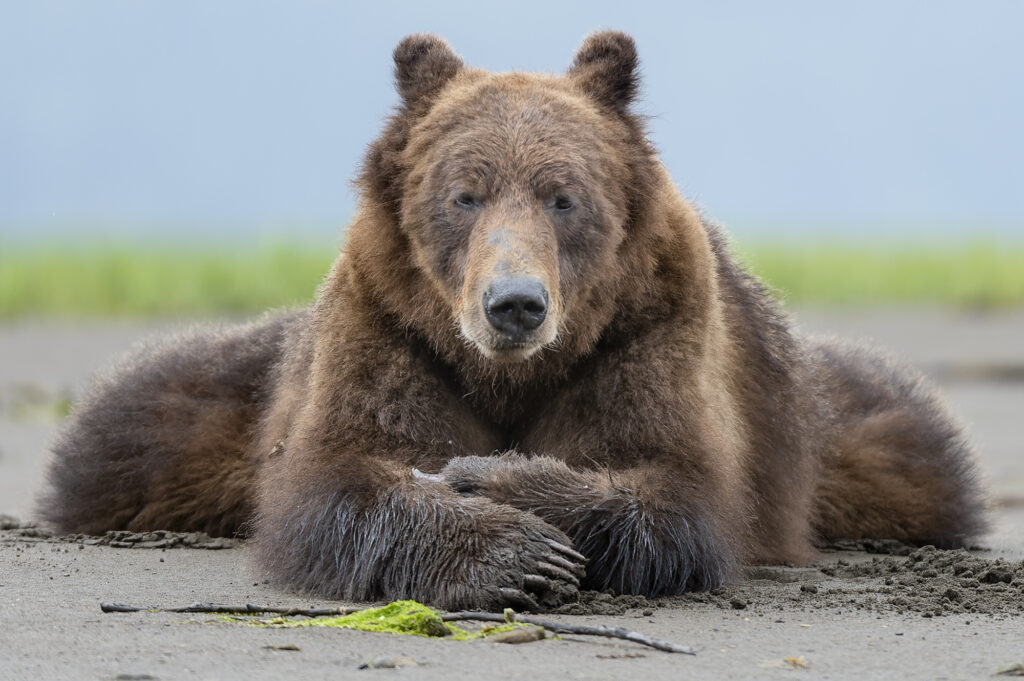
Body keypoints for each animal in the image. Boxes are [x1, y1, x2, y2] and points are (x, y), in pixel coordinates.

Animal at [38, 31, 988, 611]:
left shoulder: (649, 332)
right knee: (129, 428)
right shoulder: (391, 327)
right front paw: (513, 556)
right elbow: (339, 471)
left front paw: (494, 478)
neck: (507, 371)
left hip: (833, 425)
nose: (516, 303)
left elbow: (672, 485)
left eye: (564, 196)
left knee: (910, 445)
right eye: (465, 193)